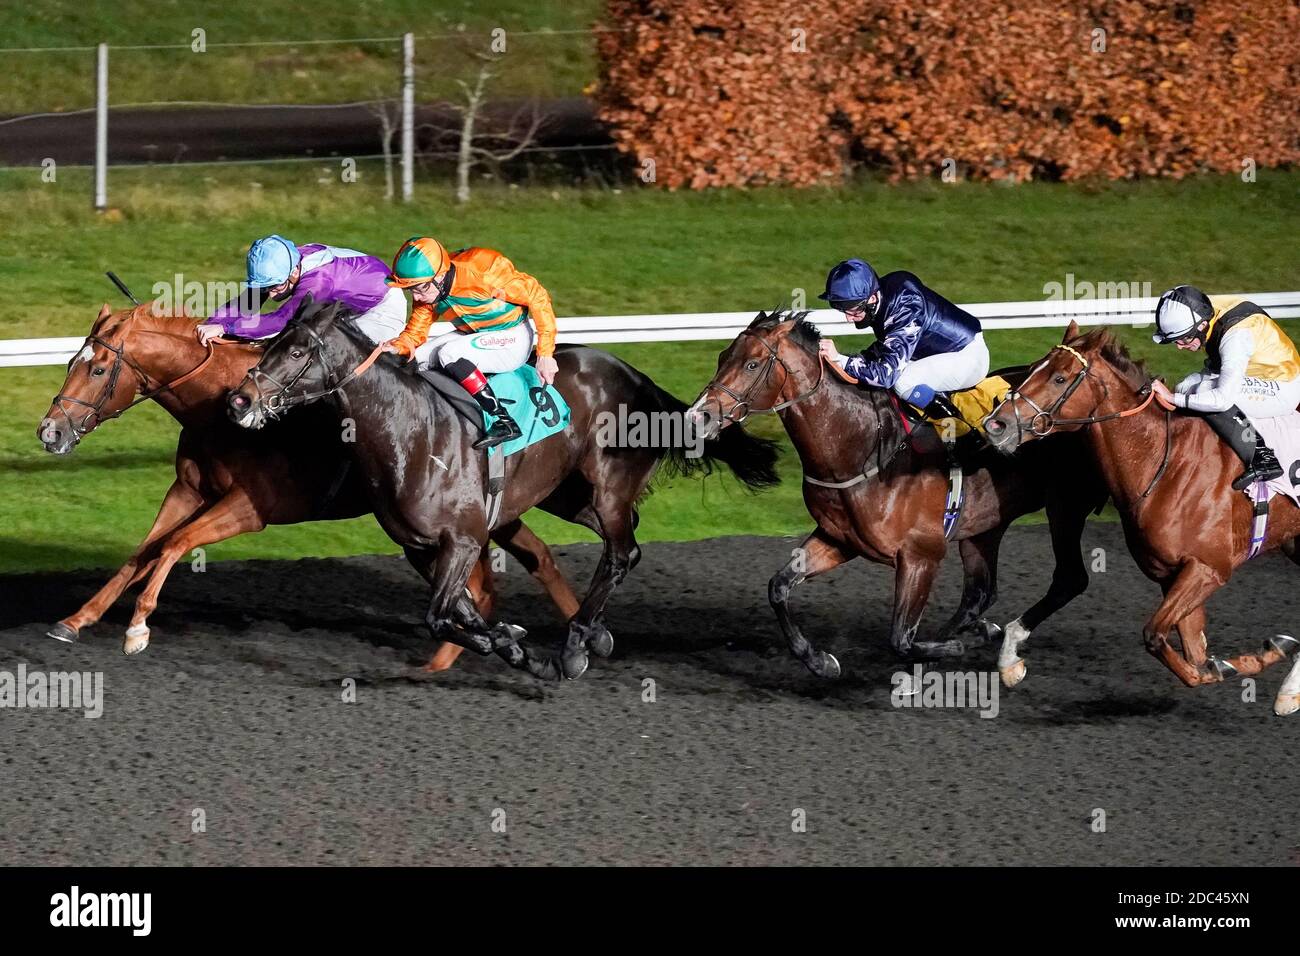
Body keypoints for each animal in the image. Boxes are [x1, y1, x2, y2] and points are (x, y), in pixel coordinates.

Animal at [35, 303, 579, 660]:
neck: (219, 407)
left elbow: (174, 544)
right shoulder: (188, 490)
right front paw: (76, 620)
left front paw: (138, 626)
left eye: (98, 369)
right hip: (491, 513)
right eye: (71, 362)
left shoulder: (251, 507)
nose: (50, 431)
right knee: (526, 564)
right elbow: (142, 551)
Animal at [226, 299, 780, 681]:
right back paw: (594, 631)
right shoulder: (421, 548)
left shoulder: (462, 539)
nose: (239, 399)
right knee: (626, 544)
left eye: (297, 350)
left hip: (607, 487)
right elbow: (462, 613)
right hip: (565, 495)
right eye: (268, 344)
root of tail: (639, 377)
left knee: (622, 551)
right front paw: (518, 647)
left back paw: (577, 643)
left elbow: (440, 617)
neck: (410, 431)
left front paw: (522, 646)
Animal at [686, 314, 1102, 681]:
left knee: (1068, 578)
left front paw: (952, 648)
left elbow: (901, 638)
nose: (697, 417)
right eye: (722, 357)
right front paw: (820, 662)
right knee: (980, 594)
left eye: (752, 363)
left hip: (1064, 506)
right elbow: (779, 587)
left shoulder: (922, 555)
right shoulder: (839, 539)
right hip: (985, 525)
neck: (864, 448)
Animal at [982, 325, 1300, 712]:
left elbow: (1158, 638)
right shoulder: (1171, 574)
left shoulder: (1209, 569)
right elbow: (1194, 654)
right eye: (1031, 368)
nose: (996, 425)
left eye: (1059, 378)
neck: (1164, 463)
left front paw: (1247, 660)